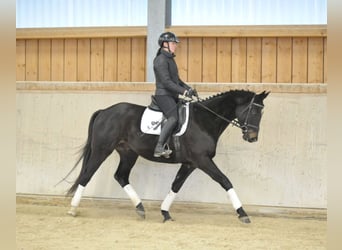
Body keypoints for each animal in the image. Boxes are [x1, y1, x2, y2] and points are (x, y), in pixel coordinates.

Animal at [65, 89, 270, 223]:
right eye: (253, 110)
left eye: (261, 111)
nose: (252, 137)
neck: (203, 121)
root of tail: (105, 111)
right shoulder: (202, 160)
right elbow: (225, 180)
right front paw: (242, 213)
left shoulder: (190, 163)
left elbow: (176, 185)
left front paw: (165, 212)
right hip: (102, 150)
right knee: (87, 175)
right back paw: (73, 209)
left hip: (128, 153)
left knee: (121, 176)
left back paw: (140, 208)